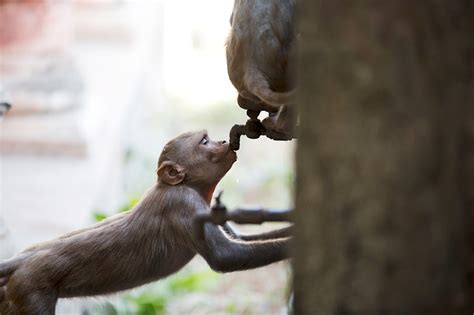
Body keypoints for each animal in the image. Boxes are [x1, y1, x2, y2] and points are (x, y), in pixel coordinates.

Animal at [0, 130, 290, 314]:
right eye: (204, 141)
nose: (223, 141)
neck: (187, 186)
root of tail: (24, 259)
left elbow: (240, 240)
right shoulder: (184, 205)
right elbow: (225, 256)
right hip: (31, 290)